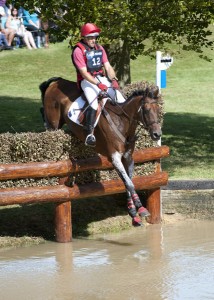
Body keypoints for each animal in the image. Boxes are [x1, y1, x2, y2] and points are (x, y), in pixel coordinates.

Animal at [39, 76, 161, 226]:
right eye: (147, 110)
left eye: (158, 109)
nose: (157, 134)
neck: (122, 122)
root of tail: (56, 83)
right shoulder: (114, 157)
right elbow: (129, 183)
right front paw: (140, 208)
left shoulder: (128, 157)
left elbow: (128, 182)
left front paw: (133, 212)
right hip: (53, 124)